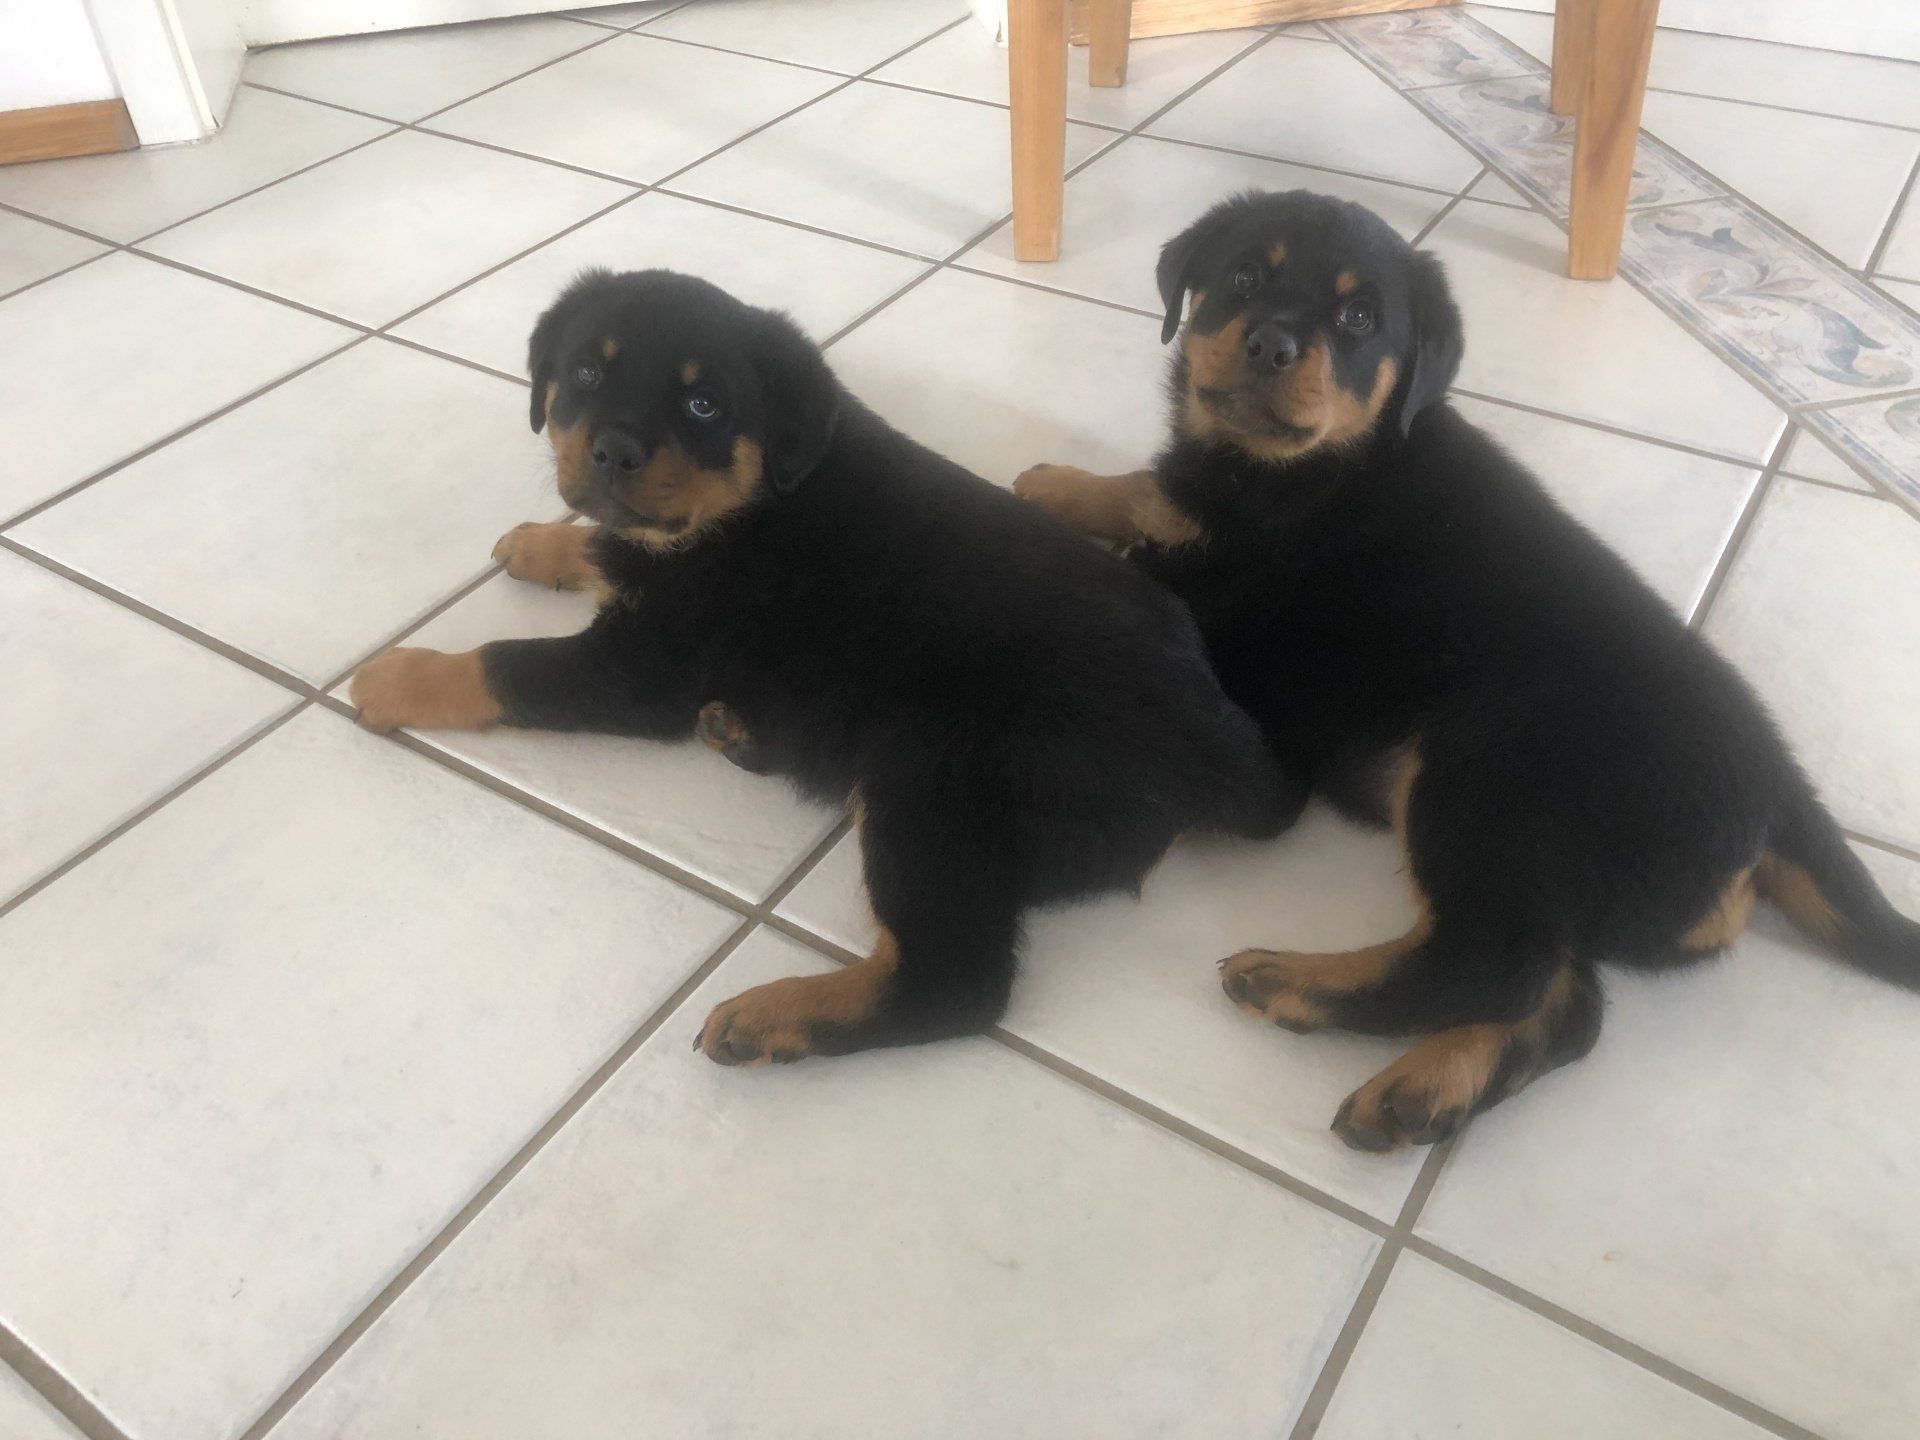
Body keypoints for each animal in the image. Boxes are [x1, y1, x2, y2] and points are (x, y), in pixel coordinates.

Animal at [350, 268, 1301, 1064]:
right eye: (586, 371)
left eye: (704, 406)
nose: (613, 450)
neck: (750, 500)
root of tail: (1226, 749)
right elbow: (604, 546)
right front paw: (540, 543)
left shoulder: (643, 669)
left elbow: (502, 665)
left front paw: (394, 677)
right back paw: (738, 734)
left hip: (938, 781)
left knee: (954, 984)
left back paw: (772, 1018)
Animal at [1016, 190, 1920, 1151]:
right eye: (1244, 277)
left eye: (1359, 319)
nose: (1269, 344)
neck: (1318, 461)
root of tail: (1784, 794)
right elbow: (1150, 491)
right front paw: (1059, 481)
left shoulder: (1209, 586)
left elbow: (1129, 545)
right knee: (1566, 1003)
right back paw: (1424, 1089)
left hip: (1491, 773)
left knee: (1494, 963)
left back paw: (1296, 982)